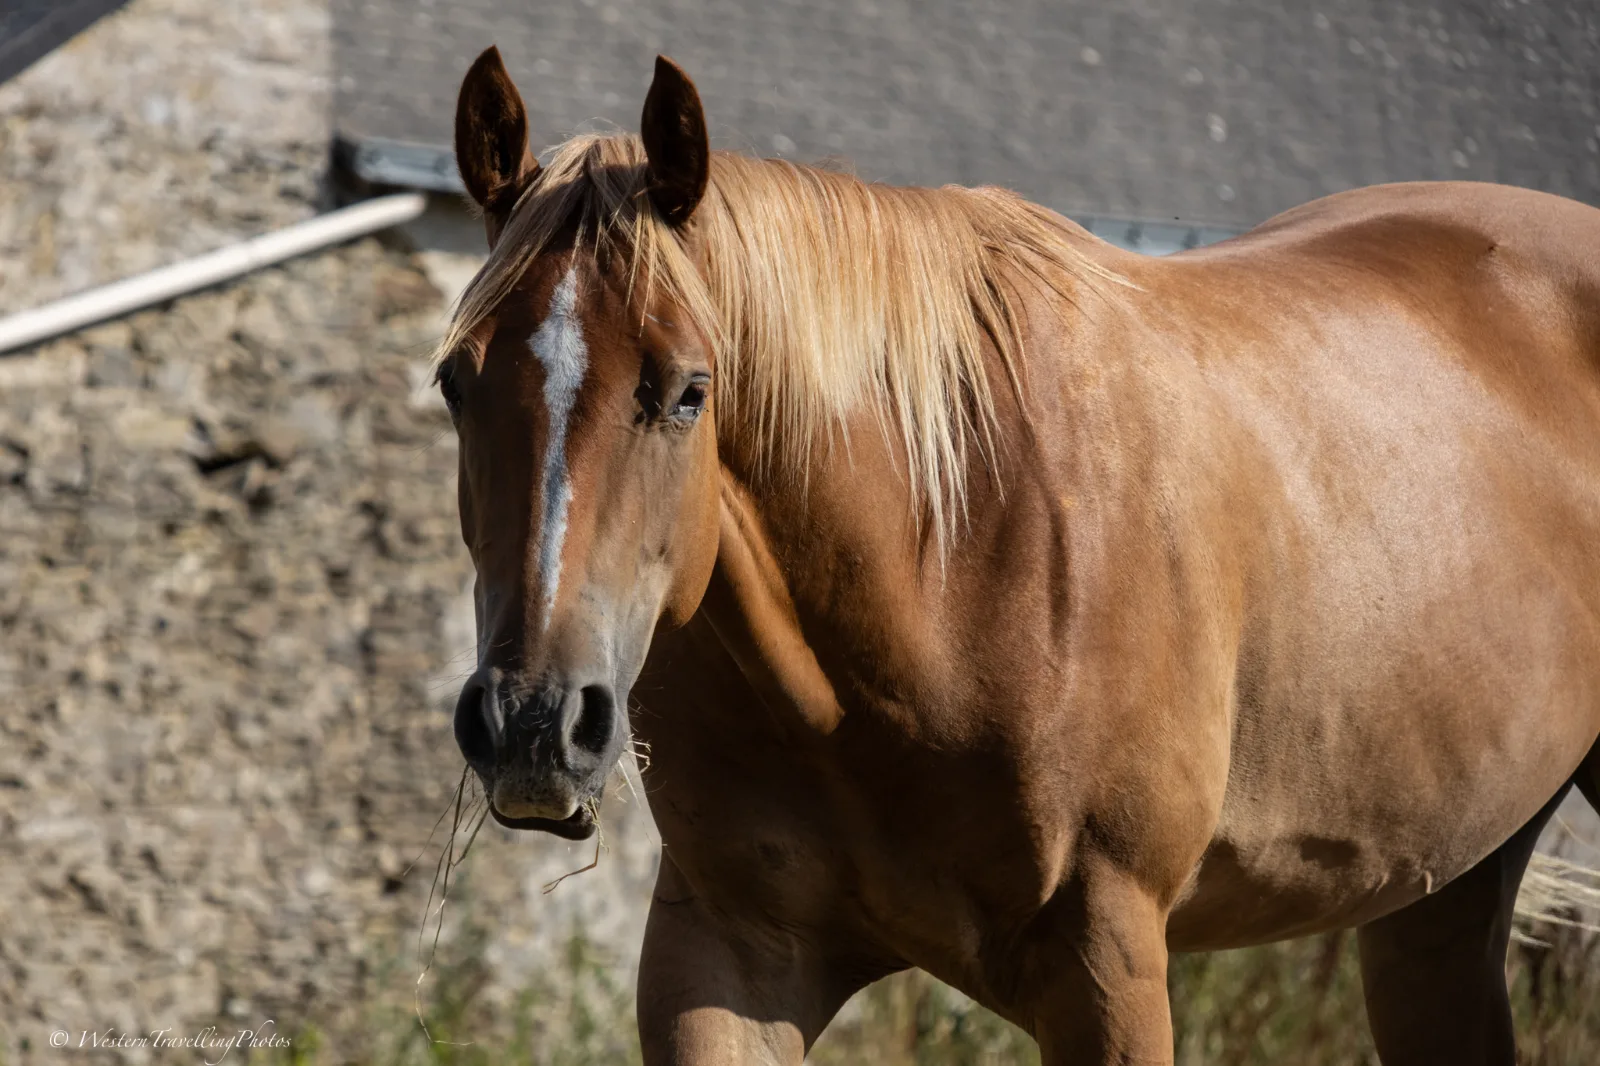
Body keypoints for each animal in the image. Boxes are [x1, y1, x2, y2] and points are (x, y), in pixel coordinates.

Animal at [434, 46, 1600, 1065]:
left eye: (687, 389)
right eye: (455, 380)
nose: (533, 723)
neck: (939, 575)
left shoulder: (1108, 967)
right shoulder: (726, 956)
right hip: (1438, 893)